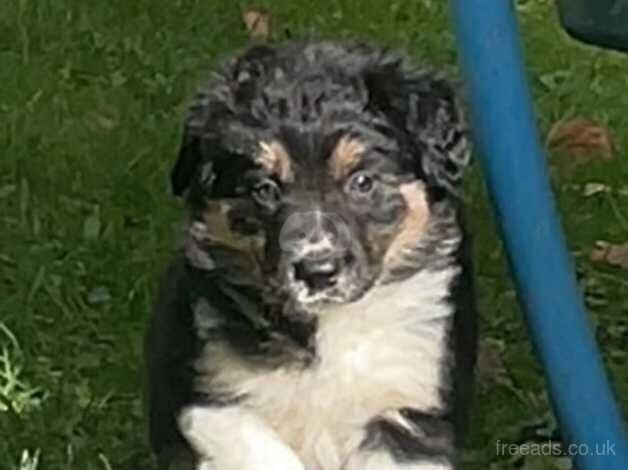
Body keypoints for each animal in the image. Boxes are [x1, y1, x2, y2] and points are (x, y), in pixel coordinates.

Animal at [145, 41, 478, 470]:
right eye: (265, 189)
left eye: (362, 181)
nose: (317, 271)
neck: (330, 326)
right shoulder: (203, 395)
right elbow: (263, 451)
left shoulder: (412, 411)